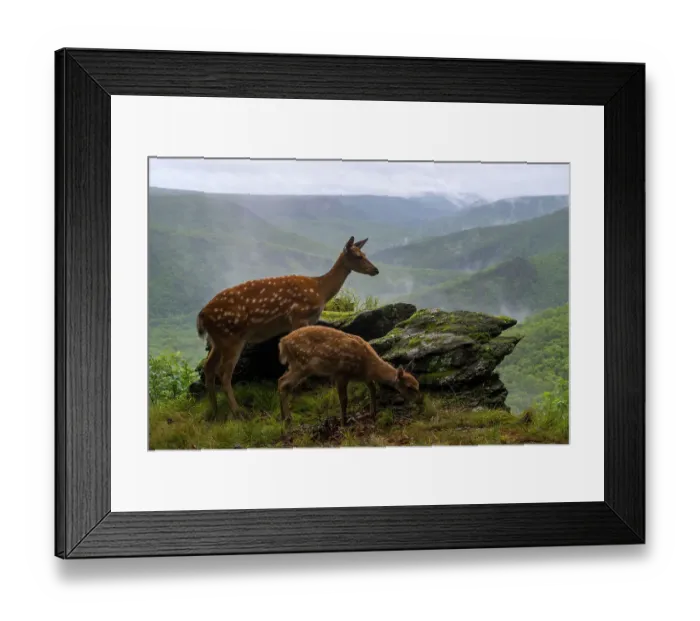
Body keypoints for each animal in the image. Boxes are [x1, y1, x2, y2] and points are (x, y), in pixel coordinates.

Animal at [196, 236, 379, 420]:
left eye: (365, 254)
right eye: (358, 256)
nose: (375, 270)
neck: (320, 289)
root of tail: (202, 315)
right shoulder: (299, 315)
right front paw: (301, 386)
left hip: (217, 340)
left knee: (208, 367)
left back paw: (214, 410)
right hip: (231, 336)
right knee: (224, 373)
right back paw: (238, 412)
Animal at [277, 325, 422, 426]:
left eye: (418, 385)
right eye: (409, 387)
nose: (420, 402)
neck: (368, 366)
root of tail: (282, 343)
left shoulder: (365, 377)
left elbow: (373, 389)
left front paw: (373, 412)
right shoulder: (341, 374)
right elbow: (344, 399)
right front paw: (343, 422)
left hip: (295, 365)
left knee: (281, 381)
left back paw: (284, 418)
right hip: (302, 364)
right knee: (283, 382)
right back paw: (287, 419)